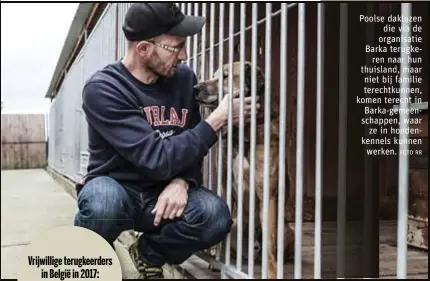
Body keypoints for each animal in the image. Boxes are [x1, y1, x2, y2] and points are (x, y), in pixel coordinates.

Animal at [195, 61, 296, 278]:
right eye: (214, 74)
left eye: (225, 76)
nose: (195, 88)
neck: (244, 130)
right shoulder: (226, 188)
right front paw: (219, 262)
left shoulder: (267, 194)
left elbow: (269, 242)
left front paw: (272, 273)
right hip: (237, 224)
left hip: (286, 230)